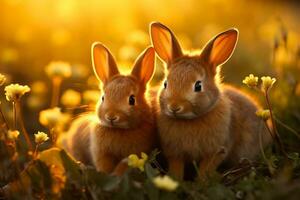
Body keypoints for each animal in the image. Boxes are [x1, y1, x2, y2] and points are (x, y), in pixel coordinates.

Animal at [62, 42, 158, 175]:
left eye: (132, 100)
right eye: (103, 97)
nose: (111, 117)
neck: (118, 129)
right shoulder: (102, 154)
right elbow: (104, 166)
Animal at [150, 21, 272, 180]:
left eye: (198, 86)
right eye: (165, 84)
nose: (174, 107)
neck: (189, 120)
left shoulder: (217, 150)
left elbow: (206, 167)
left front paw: (202, 181)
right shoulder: (174, 153)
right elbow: (177, 166)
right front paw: (175, 180)